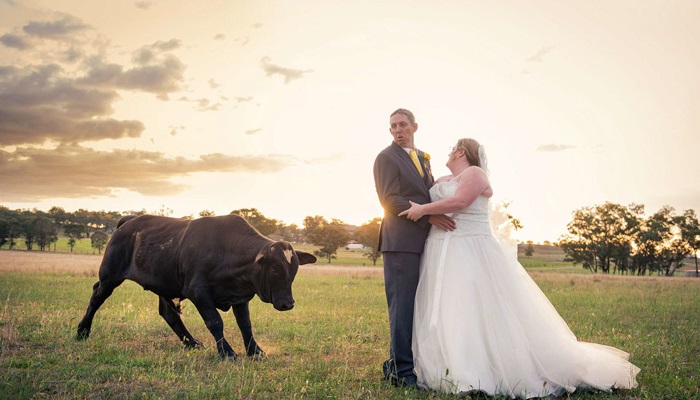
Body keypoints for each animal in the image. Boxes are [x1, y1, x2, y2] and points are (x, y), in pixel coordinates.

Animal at [77, 216, 318, 360]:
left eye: (294, 268)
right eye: (275, 269)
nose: (287, 303)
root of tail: (129, 221)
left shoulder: (240, 297)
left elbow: (246, 325)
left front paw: (255, 351)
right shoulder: (198, 292)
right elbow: (215, 322)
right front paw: (227, 353)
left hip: (163, 283)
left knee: (168, 313)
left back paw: (191, 343)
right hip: (110, 276)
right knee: (96, 297)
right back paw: (82, 331)